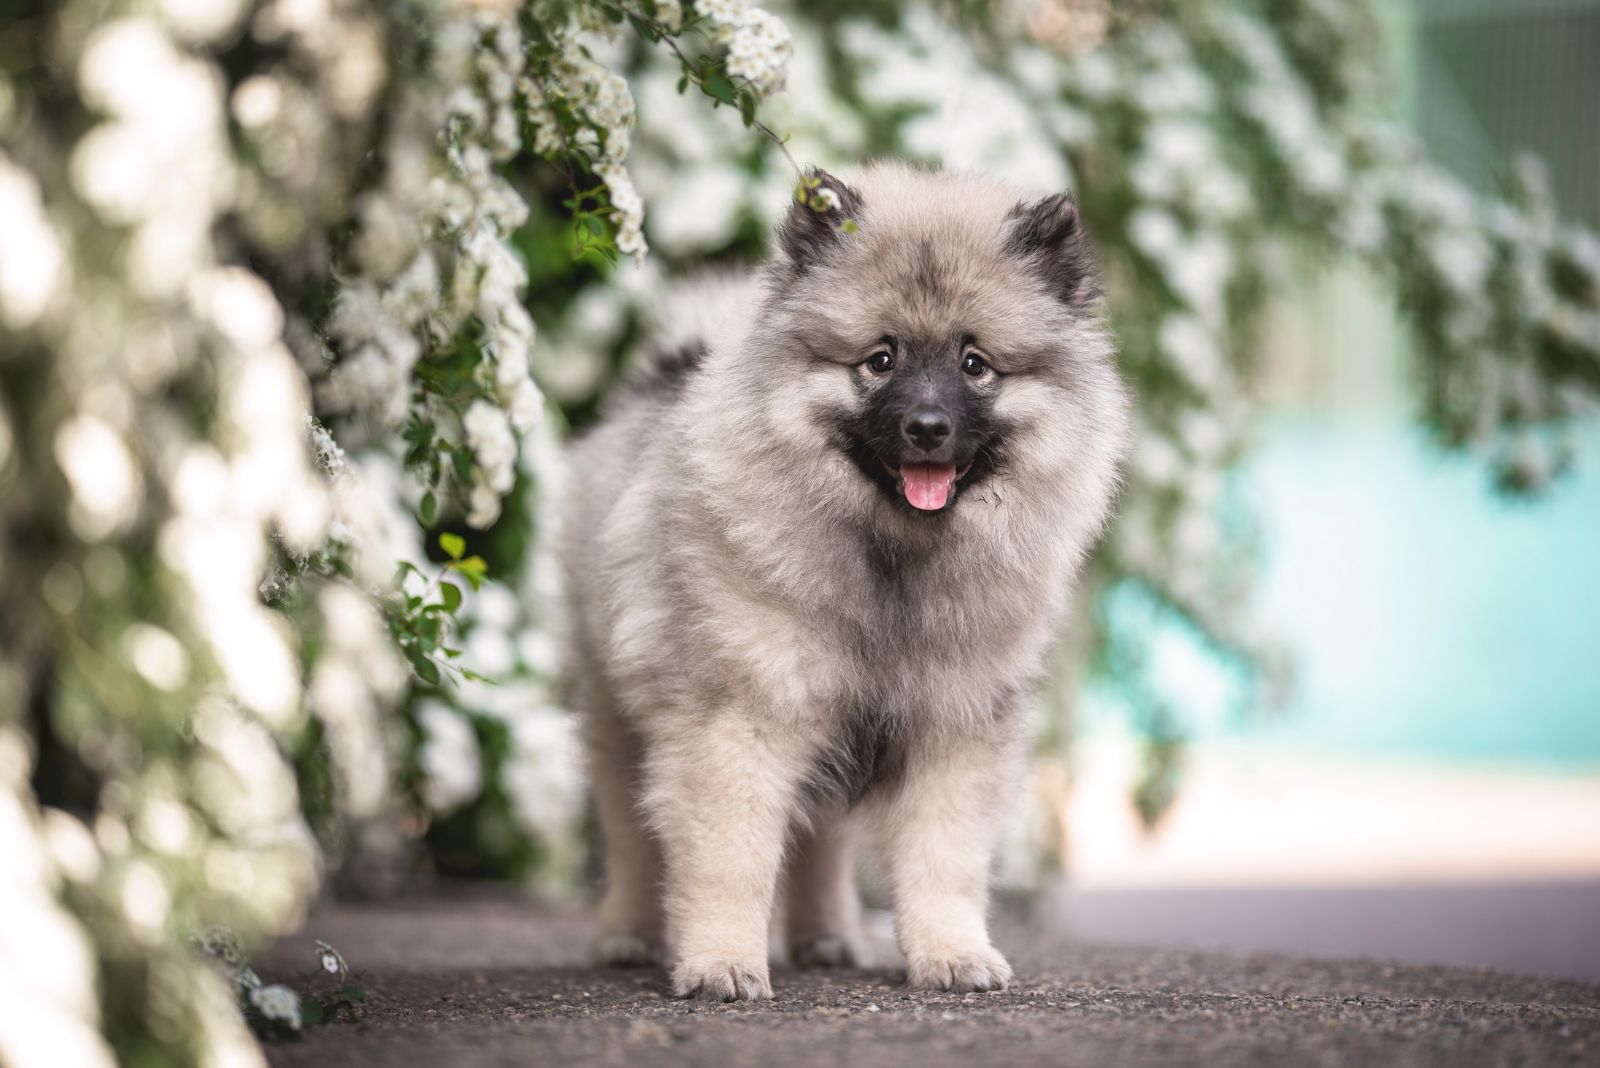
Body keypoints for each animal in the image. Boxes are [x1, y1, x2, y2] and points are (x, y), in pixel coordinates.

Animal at [556, 160, 1132, 1004]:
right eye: (880, 359)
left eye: (974, 364)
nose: (927, 427)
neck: (893, 560)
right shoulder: (740, 722)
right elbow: (730, 860)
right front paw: (722, 961)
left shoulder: (952, 727)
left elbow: (944, 859)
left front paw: (953, 953)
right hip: (619, 718)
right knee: (632, 839)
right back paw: (629, 936)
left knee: (820, 840)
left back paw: (828, 936)